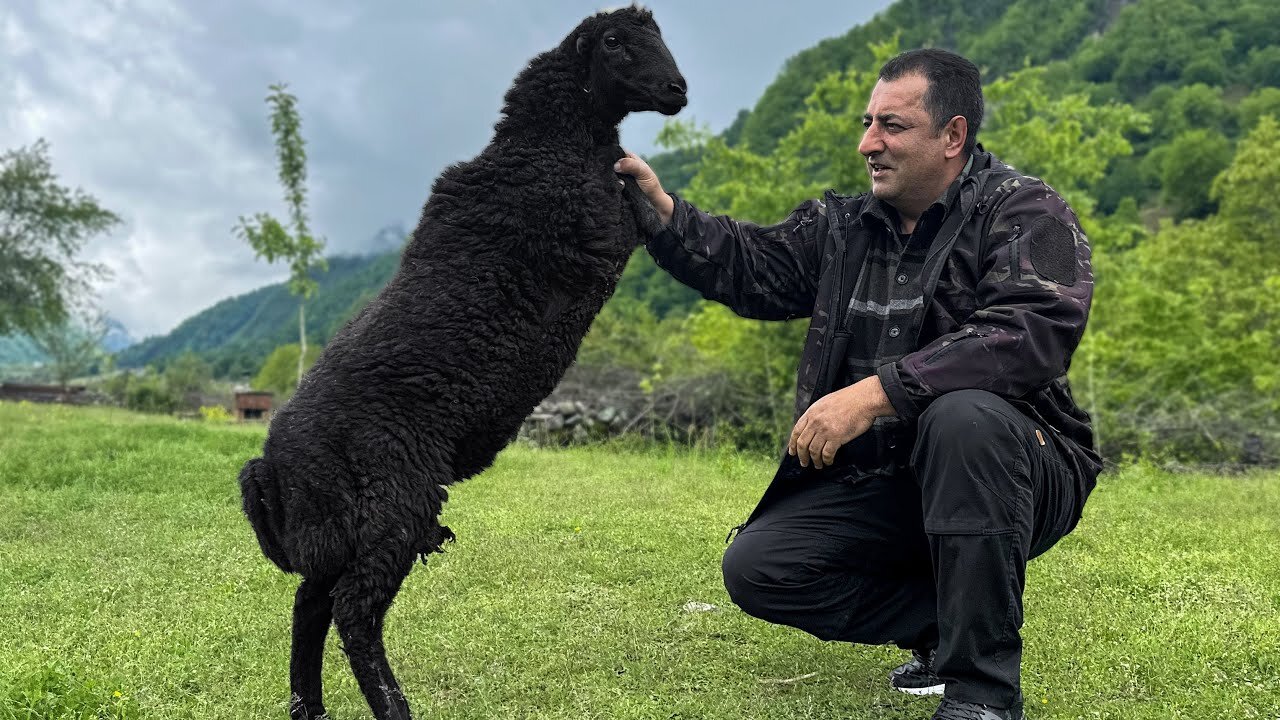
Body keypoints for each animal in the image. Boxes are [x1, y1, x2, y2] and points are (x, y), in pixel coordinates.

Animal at [235, 7, 686, 717]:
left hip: (348, 528)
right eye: (615, 42)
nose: (678, 90)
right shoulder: (601, 230)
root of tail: (270, 470)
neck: (549, 144)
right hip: (392, 506)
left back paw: (309, 705)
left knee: (310, 603)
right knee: (353, 613)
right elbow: (640, 207)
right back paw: (392, 707)